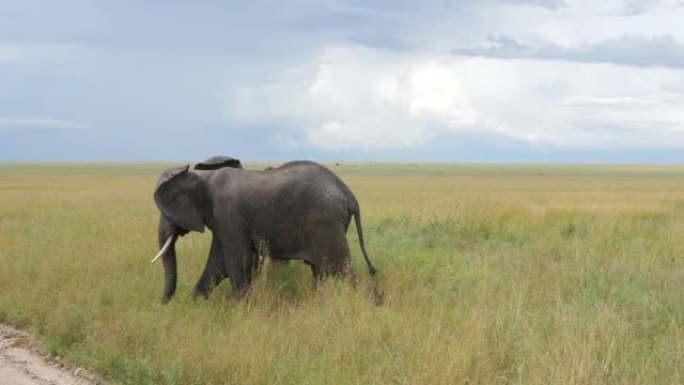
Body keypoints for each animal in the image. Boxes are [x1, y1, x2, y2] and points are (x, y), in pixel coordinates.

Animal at [151, 158, 380, 302]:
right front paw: (193, 305)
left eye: (166, 212)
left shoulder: (228, 213)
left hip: (325, 221)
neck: (202, 177)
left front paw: (241, 310)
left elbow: (237, 260)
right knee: (322, 271)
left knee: (340, 268)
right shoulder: (222, 220)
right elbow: (218, 264)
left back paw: (373, 304)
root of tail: (349, 195)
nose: (162, 303)